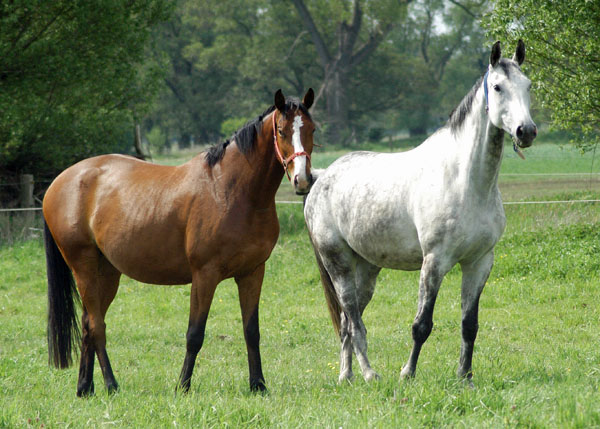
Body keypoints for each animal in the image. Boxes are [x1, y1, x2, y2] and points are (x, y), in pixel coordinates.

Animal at [44, 88, 316, 394]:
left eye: (312, 129)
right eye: (281, 130)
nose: (302, 180)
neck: (232, 190)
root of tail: (59, 182)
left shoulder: (252, 273)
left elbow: (251, 331)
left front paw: (258, 384)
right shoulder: (205, 275)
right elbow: (195, 333)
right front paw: (183, 386)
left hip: (107, 272)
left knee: (89, 323)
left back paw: (85, 387)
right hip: (84, 268)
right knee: (97, 326)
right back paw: (111, 384)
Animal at [308, 40, 536, 382]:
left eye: (528, 85)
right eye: (497, 87)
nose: (527, 131)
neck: (465, 182)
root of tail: (322, 176)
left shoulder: (479, 263)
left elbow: (469, 324)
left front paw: (465, 376)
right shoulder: (434, 262)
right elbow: (422, 325)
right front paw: (408, 373)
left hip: (367, 268)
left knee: (348, 323)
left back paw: (346, 376)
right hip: (339, 265)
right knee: (354, 322)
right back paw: (369, 374)